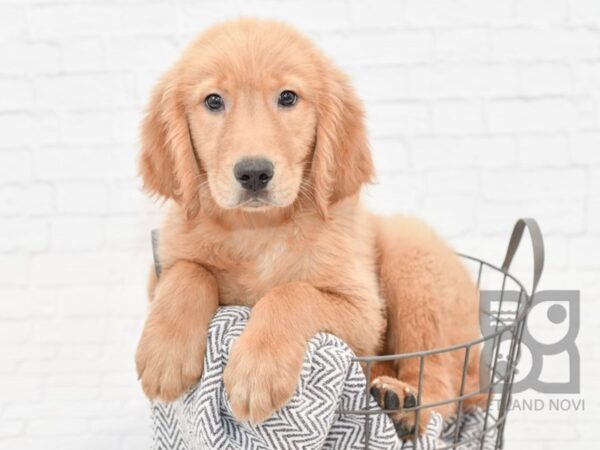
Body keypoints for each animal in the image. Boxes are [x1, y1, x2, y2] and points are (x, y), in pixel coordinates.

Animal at [134, 17, 486, 436]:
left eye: (288, 97)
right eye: (213, 101)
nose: (254, 173)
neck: (260, 229)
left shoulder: (363, 310)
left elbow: (291, 293)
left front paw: (257, 371)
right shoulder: (162, 268)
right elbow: (189, 272)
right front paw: (165, 354)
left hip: (413, 259)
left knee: (439, 375)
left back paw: (405, 407)